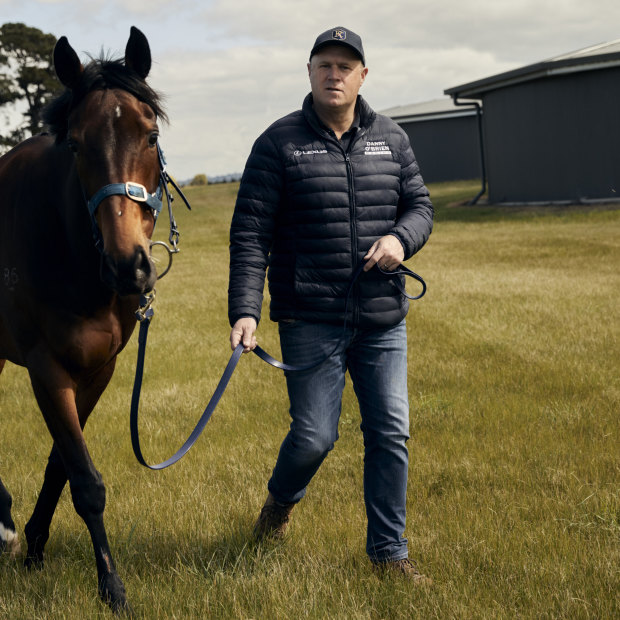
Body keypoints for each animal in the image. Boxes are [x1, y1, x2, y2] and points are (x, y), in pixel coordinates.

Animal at [0, 26, 168, 612]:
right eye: (75, 144)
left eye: (150, 136)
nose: (129, 266)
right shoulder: (45, 368)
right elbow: (86, 480)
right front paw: (112, 588)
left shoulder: (98, 370)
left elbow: (61, 465)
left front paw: (35, 548)